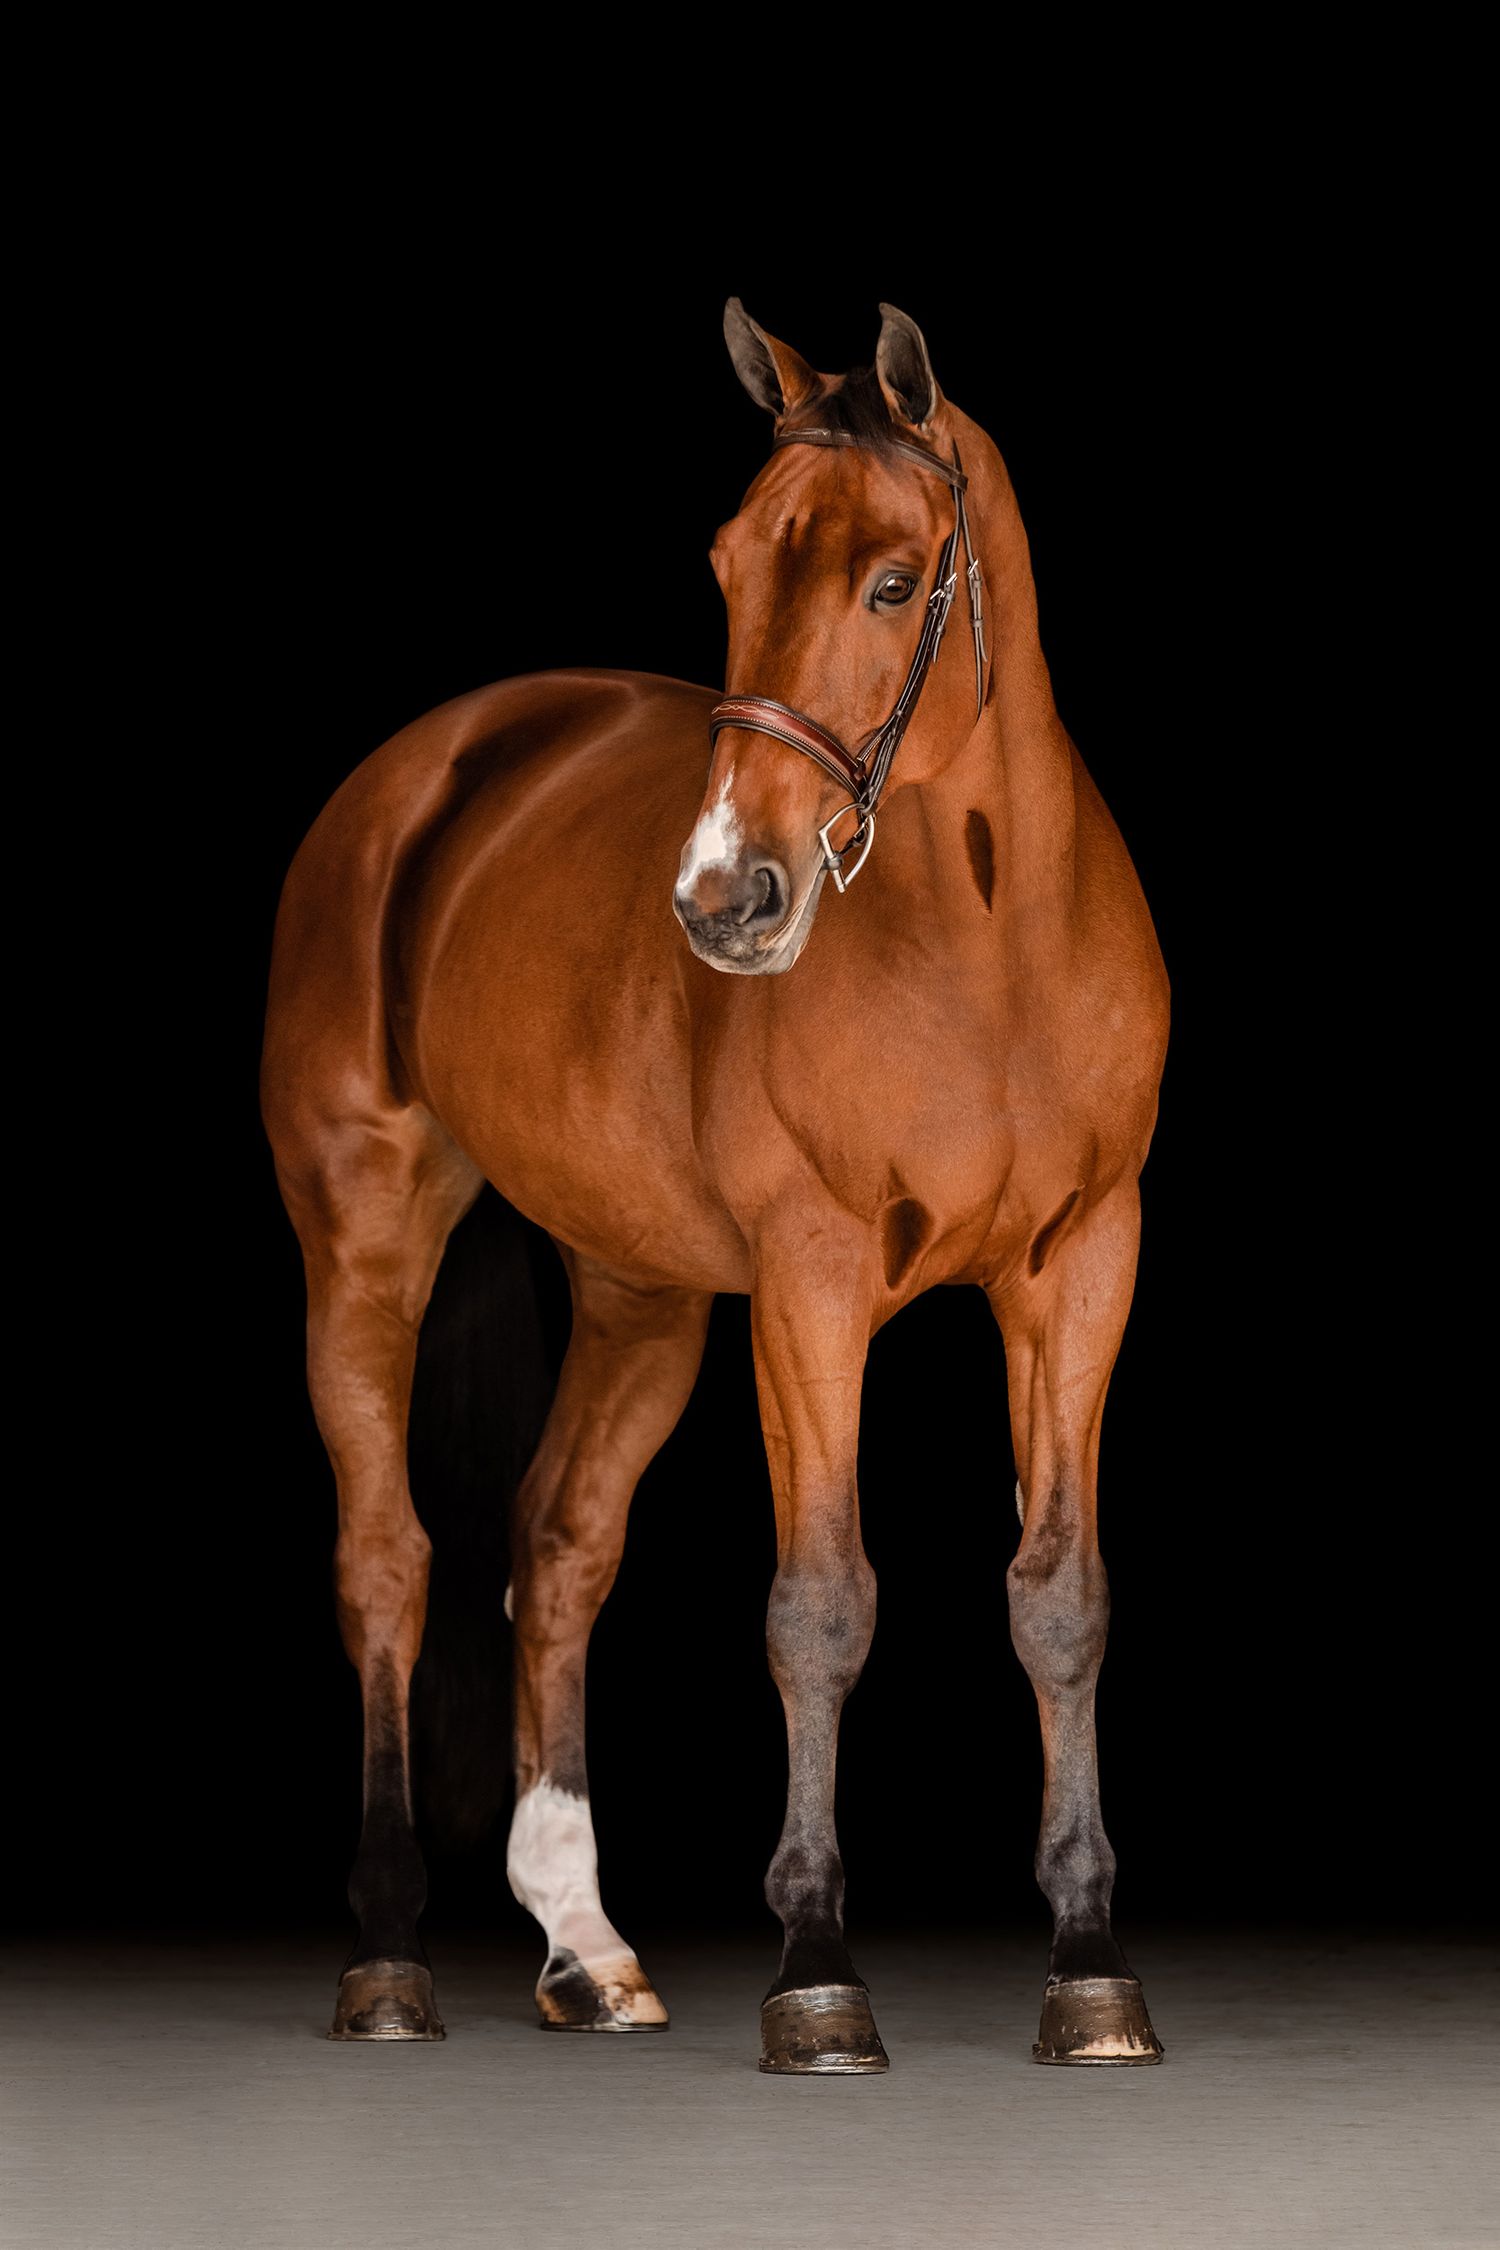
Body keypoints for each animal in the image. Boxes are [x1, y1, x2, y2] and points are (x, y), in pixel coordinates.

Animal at [260, 299, 1170, 2073]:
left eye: (895, 579)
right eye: (730, 560)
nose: (724, 894)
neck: (994, 956)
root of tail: (428, 768)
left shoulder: (1082, 1269)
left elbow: (1059, 1597)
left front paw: (1092, 1967)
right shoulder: (813, 1281)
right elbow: (820, 1602)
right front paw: (816, 1968)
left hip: (643, 1294)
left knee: (558, 1548)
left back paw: (586, 1947)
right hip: (366, 1240)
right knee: (387, 1558)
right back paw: (390, 1956)